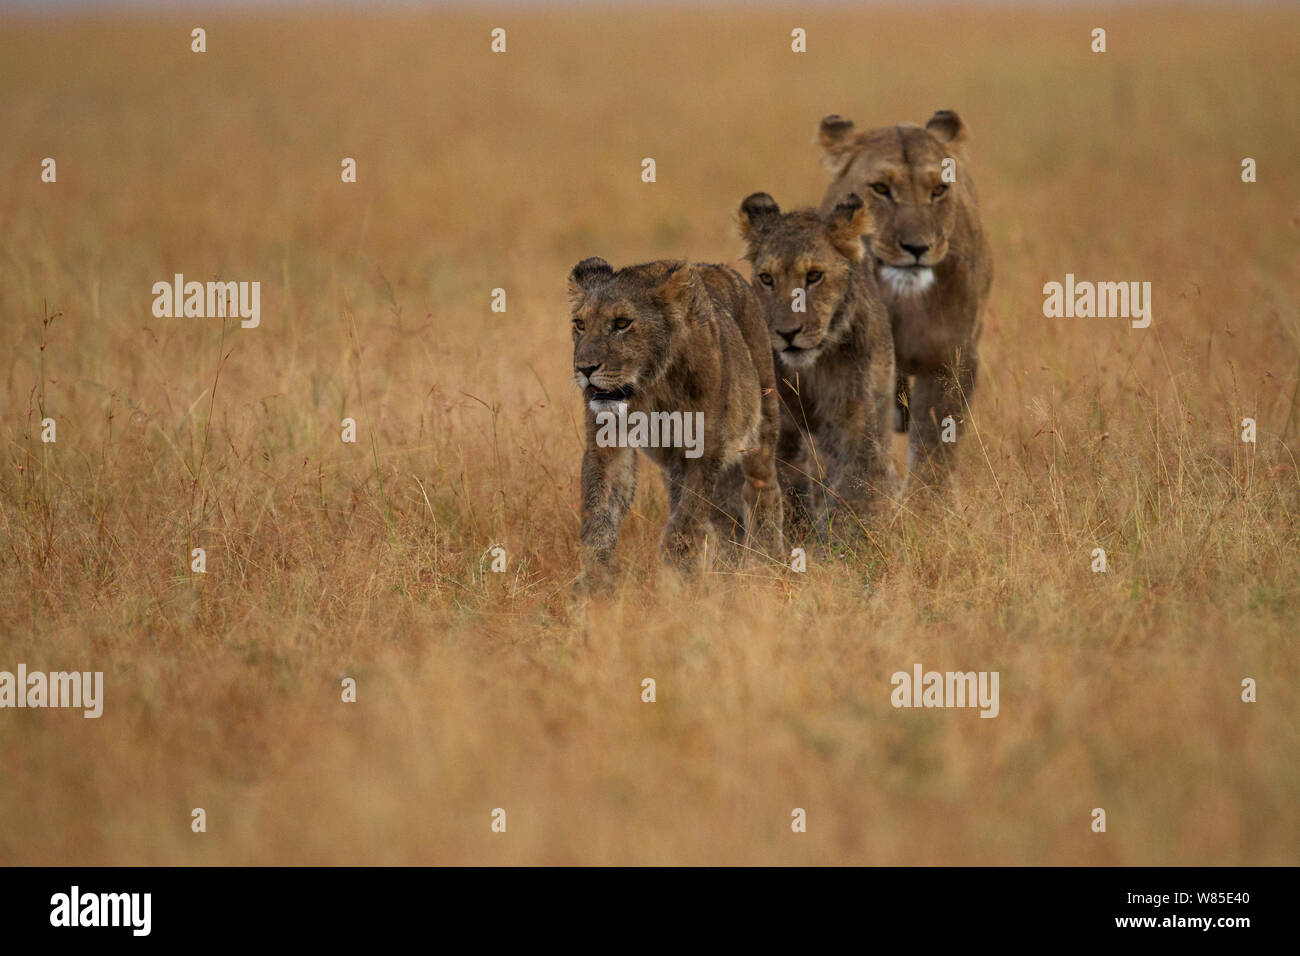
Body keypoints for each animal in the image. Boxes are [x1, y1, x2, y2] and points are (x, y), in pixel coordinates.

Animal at [569, 257, 784, 590]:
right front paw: (593, 582)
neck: (650, 385)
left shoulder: (705, 446)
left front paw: (677, 576)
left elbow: (687, 519)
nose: (585, 369)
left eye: (622, 323)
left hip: (761, 426)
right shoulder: (607, 445)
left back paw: (767, 562)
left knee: (763, 490)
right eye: (580, 324)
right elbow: (599, 512)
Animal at [737, 191, 898, 537]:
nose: (787, 333)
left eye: (814, 276)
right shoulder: (780, 425)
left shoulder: (856, 414)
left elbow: (854, 484)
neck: (812, 370)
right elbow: (783, 485)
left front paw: (846, 538)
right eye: (766, 279)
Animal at [817, 109, 993, 487]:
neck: (901, 303)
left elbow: (935, 447)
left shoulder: (950, 359)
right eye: (881, 189)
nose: (917, 247)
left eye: (938, 190)